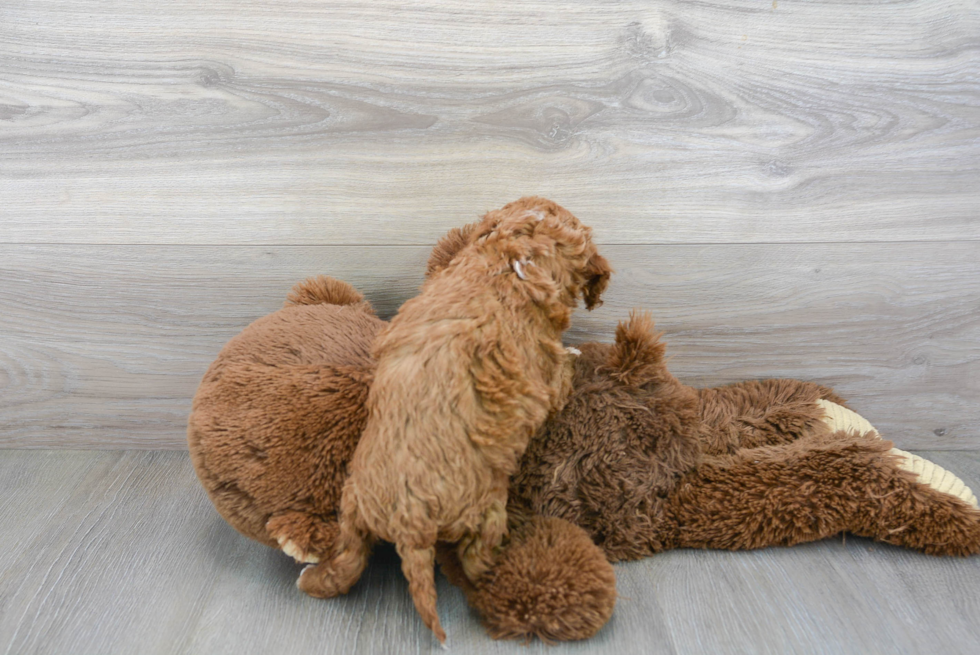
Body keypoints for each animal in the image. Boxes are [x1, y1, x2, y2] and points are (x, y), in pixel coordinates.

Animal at [298, 197, 612, 644]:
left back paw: (314, 578)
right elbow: (561, 378)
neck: (510, 259)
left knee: (348, 560)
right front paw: (574, 357)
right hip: (486, 512)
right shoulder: (546, 376)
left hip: (353, 506)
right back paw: (501, 568)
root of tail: (410, 523)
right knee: (476, 562)